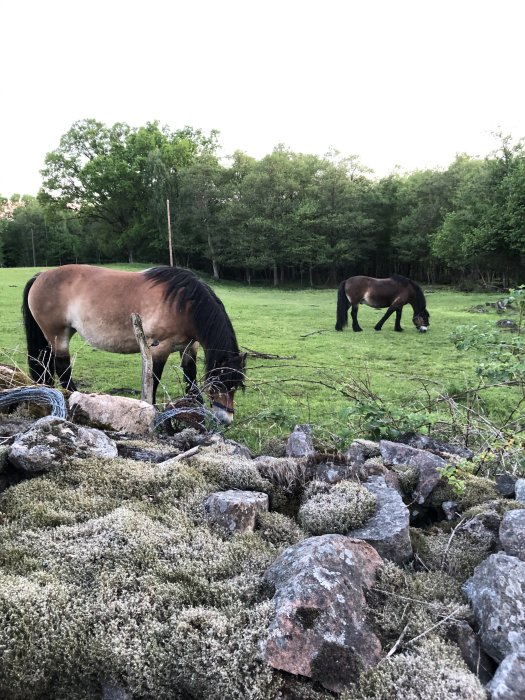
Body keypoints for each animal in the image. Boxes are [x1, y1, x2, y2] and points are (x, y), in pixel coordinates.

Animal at [21, 264, 247, 424]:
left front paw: (195, 407)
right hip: (57, 335)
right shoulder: (159, 348)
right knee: (61, 366)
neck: (183, 305)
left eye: (236, 386)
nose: (226, 420)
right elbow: (153, 378)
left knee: (47, 364)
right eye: (219, 384)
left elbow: (190, 376)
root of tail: (41, 275)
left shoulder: (189, 346)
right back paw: (74, 395)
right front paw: (152, 409)